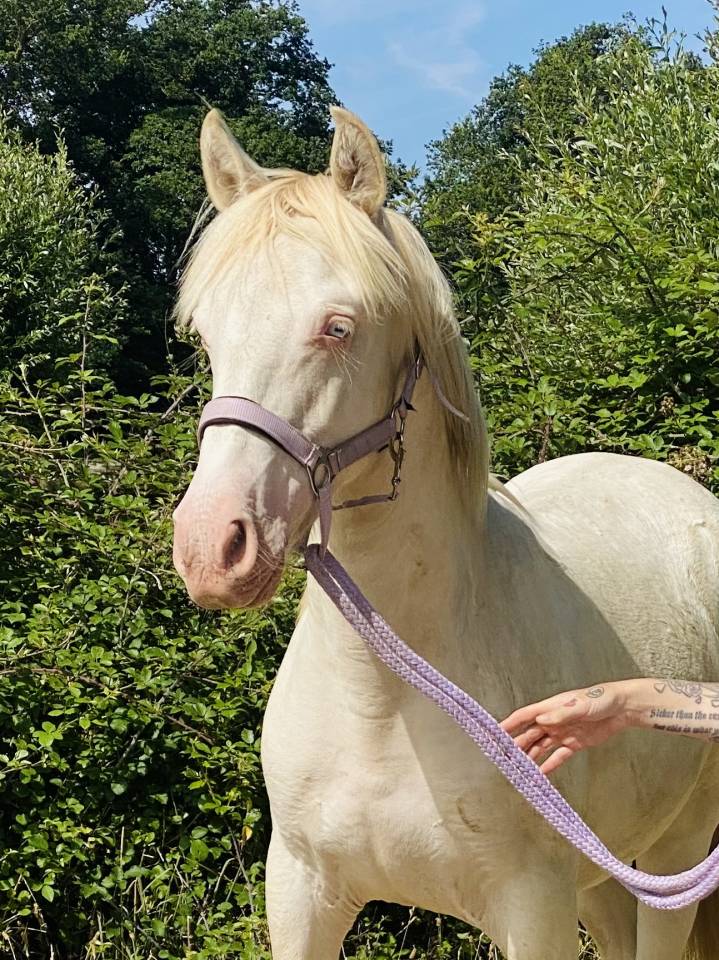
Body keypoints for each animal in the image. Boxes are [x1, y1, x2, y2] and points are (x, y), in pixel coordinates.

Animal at [171, 106, 719, 960]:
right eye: (203, 332)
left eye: (338, 326)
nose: (211, 547)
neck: (385, 694)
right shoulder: (300, 892)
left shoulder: (533, 911)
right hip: (602, 882)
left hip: (673, 858)